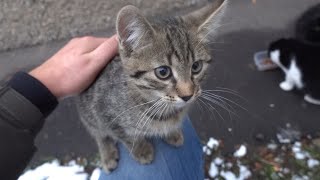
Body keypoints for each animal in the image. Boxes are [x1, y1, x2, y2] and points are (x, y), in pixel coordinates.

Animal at [77, 0, 228, 172]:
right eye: (163, 72)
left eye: (196, 66)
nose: (188, 95)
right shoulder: (106, 114)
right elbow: (126, 136)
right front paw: (141, 150)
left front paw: (172, 133)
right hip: (88, 112)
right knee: (99, 134)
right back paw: (108, 154)